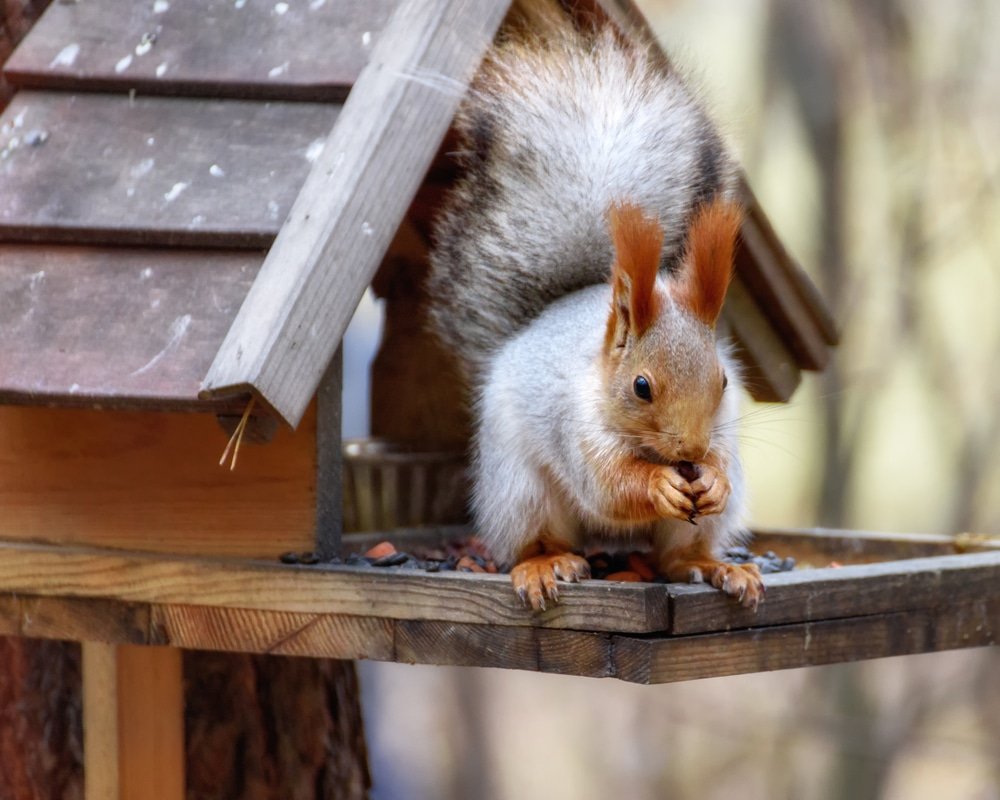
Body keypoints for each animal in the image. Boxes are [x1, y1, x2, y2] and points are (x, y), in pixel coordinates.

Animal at [427, 10, 764, 612]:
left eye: (724, 380)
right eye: (640, 387)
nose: (693, 451)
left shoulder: (723, 427)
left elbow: (721, 463)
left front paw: (713, 478)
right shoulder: (575, 428)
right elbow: (608, 484)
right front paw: (657, 484)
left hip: (690, 528)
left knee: (676, 557)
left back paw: (716, 566)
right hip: (521, 491)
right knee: (538, 537)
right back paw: (546, 564)